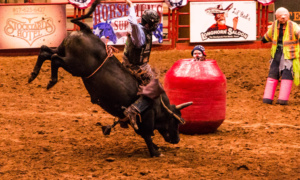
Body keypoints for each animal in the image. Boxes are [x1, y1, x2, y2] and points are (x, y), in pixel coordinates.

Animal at [28, 0, 192, 158]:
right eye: (175, 121)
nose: (177, 139)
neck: (158, 105)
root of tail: (86, 31)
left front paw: (156, 148)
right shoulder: (145, 120)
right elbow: (147, 136)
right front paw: (155, 152)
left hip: (63, 51)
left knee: (45, 51)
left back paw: (33, 75)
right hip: (74, 65)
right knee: (55, 59)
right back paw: (51, 81)